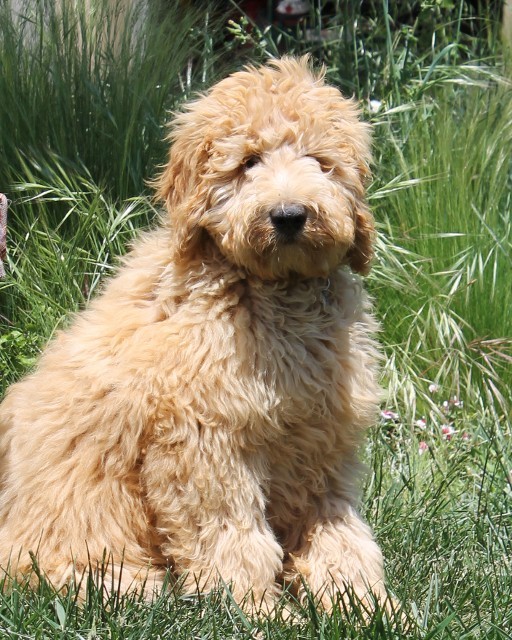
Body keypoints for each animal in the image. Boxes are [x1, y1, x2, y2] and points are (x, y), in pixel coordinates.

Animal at [0, 57, 386, 612]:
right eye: (248, 161)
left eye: (320, 161)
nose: (290, 216)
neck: (274, 297)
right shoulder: (201, 440)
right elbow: (230, 534)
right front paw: (257, 610)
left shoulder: (318, 444)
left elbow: (340, 532)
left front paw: (367, 606)